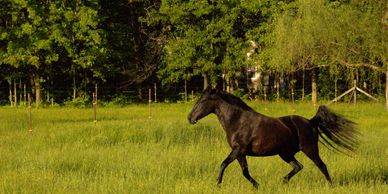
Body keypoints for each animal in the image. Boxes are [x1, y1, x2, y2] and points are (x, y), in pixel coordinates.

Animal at [187, 88, 358, 189]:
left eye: (202, 101)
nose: (190, 118)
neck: (238, 121)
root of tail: (310, 122)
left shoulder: (238, 150)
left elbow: (223, 164)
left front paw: (217, 184)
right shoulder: (240, 153)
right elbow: (245, 172)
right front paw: (258, 186)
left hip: (310, 149)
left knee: (322, 166)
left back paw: (331, 186)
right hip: (285, 153)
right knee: (298, 166)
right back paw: (282, 181)